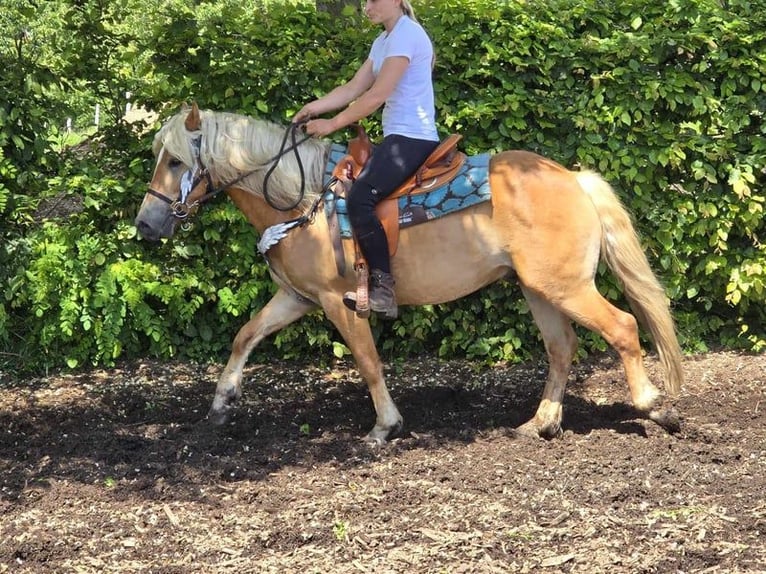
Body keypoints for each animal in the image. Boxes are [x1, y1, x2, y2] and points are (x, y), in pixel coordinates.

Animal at [136, 104, 684, 446]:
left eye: (175, 161)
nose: (145, 224)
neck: (303, 199)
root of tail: (573, 178)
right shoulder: (297, 297)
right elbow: (244, 335)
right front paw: (222, 402)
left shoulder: (337, 301)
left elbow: (368, 362)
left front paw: (385, 426)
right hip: (540, 290)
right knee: (562, 347)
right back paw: (541, 423)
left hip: (566, 287)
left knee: (623, 328)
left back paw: (656, 407)